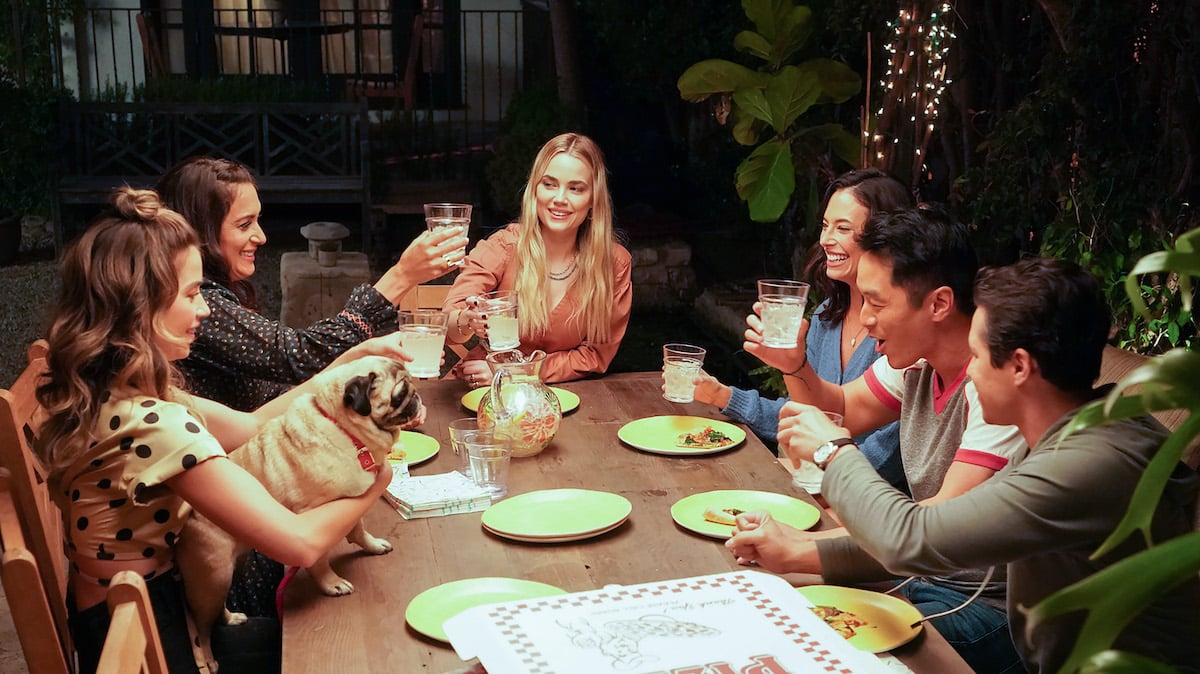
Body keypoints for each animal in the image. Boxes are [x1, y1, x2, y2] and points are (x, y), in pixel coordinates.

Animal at [175, 354, 424, 666]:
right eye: (399, 394)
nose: (416, 396)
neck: (343, 428)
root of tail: (189, 519)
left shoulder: (350, 502)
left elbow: (358, 529)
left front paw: (371, 545)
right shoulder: (313, 515)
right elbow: (320, 561)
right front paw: (331, 583)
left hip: (232, 568)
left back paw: (231, 618)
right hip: (212, 578)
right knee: (201, 626)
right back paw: (208, 658)